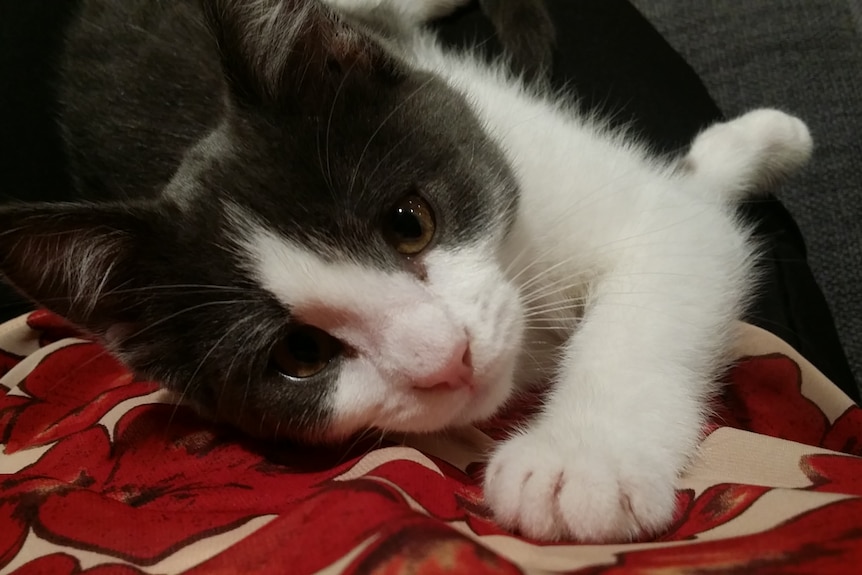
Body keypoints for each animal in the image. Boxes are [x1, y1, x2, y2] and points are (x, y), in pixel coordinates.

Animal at [0, 0, 816, 544]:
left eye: (409, 223)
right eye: (300, 353)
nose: (447, 357)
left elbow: (674, 238)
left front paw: (581, 459)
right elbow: (691, 214)